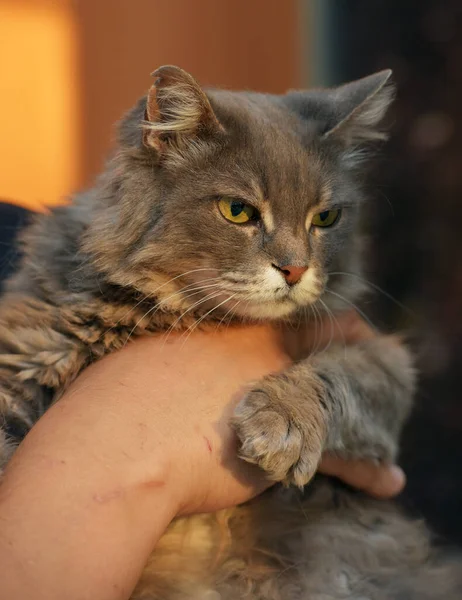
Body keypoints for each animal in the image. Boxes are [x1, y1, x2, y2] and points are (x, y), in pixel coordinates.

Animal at [0, 63, 460, 596]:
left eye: (326, 218)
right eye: (238, 211)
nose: (295, 270)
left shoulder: (385, 363)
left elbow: (338, 378)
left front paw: (283, 421)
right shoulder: (29, 346)